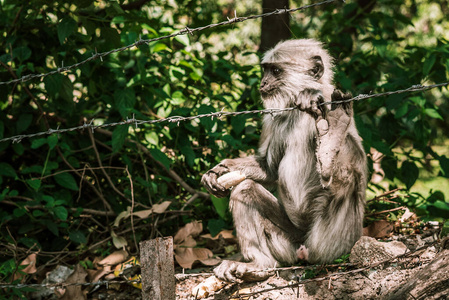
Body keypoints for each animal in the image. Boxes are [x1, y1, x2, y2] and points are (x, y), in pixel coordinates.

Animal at [201, 38, 366, 282]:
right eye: (266, 70)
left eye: (276, 71)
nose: (263, 82)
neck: (299, 112)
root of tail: (306, 251)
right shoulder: (273, 117)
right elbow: (269, 168)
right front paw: (217, 172)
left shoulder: (328, 96)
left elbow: (359, 164)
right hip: (288, 244)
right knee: (244, 190)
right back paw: (258, 265)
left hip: (333, 242)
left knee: (347, 177)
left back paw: (332, 138)